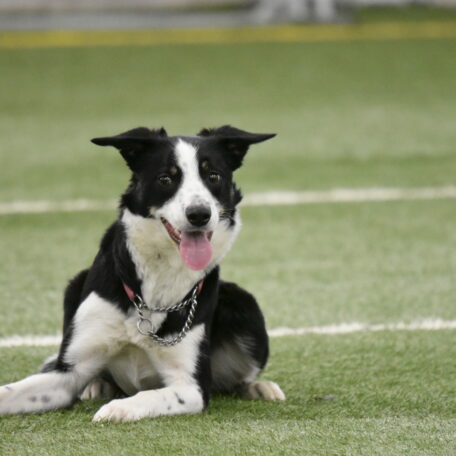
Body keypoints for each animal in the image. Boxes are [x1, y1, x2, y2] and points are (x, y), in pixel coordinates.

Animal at [0, 125, 284, 424]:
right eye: (165, 179)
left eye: (213, 176)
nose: (199, 214)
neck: (157, 280)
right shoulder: (66, 374)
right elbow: (9, 391)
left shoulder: (192, 386)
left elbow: (152, 395)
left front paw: (116, 408)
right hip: (74, 286)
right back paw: (95, 386)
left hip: (244, 303)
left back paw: (259, 387)